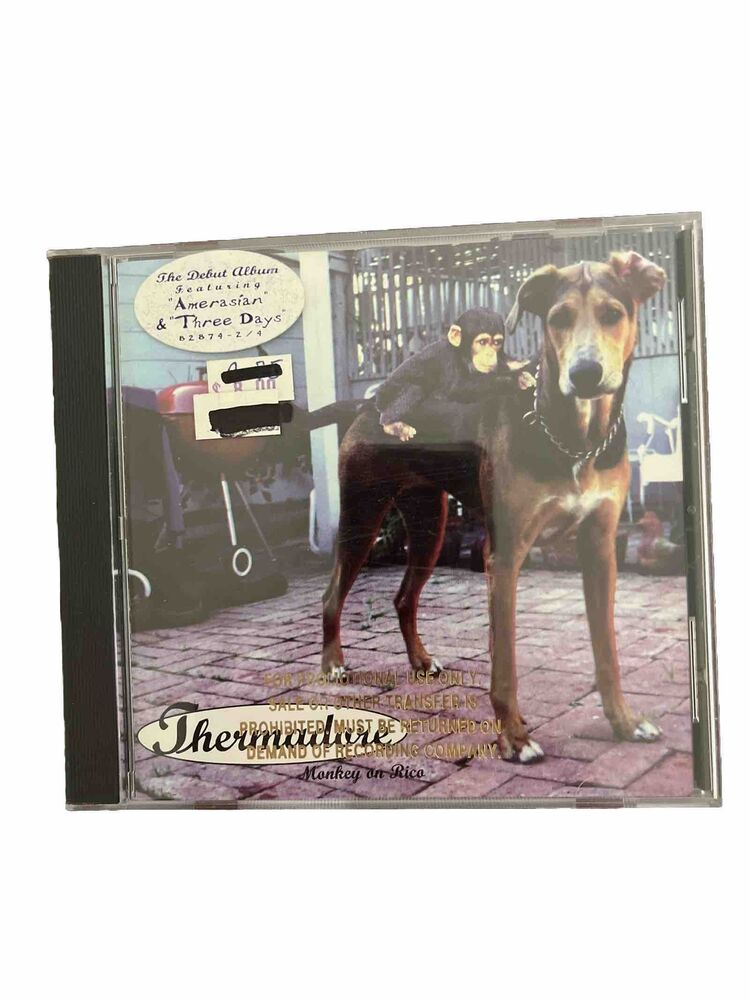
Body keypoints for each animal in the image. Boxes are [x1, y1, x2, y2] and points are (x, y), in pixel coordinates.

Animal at [375, 308, 535, 443]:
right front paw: (516, 378)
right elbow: (457, 389)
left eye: (496, 342)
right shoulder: (448, 361)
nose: (490, 354)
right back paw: (393, 425)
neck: (463, 355)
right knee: (414, 390)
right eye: (482, 342)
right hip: (387, 395)